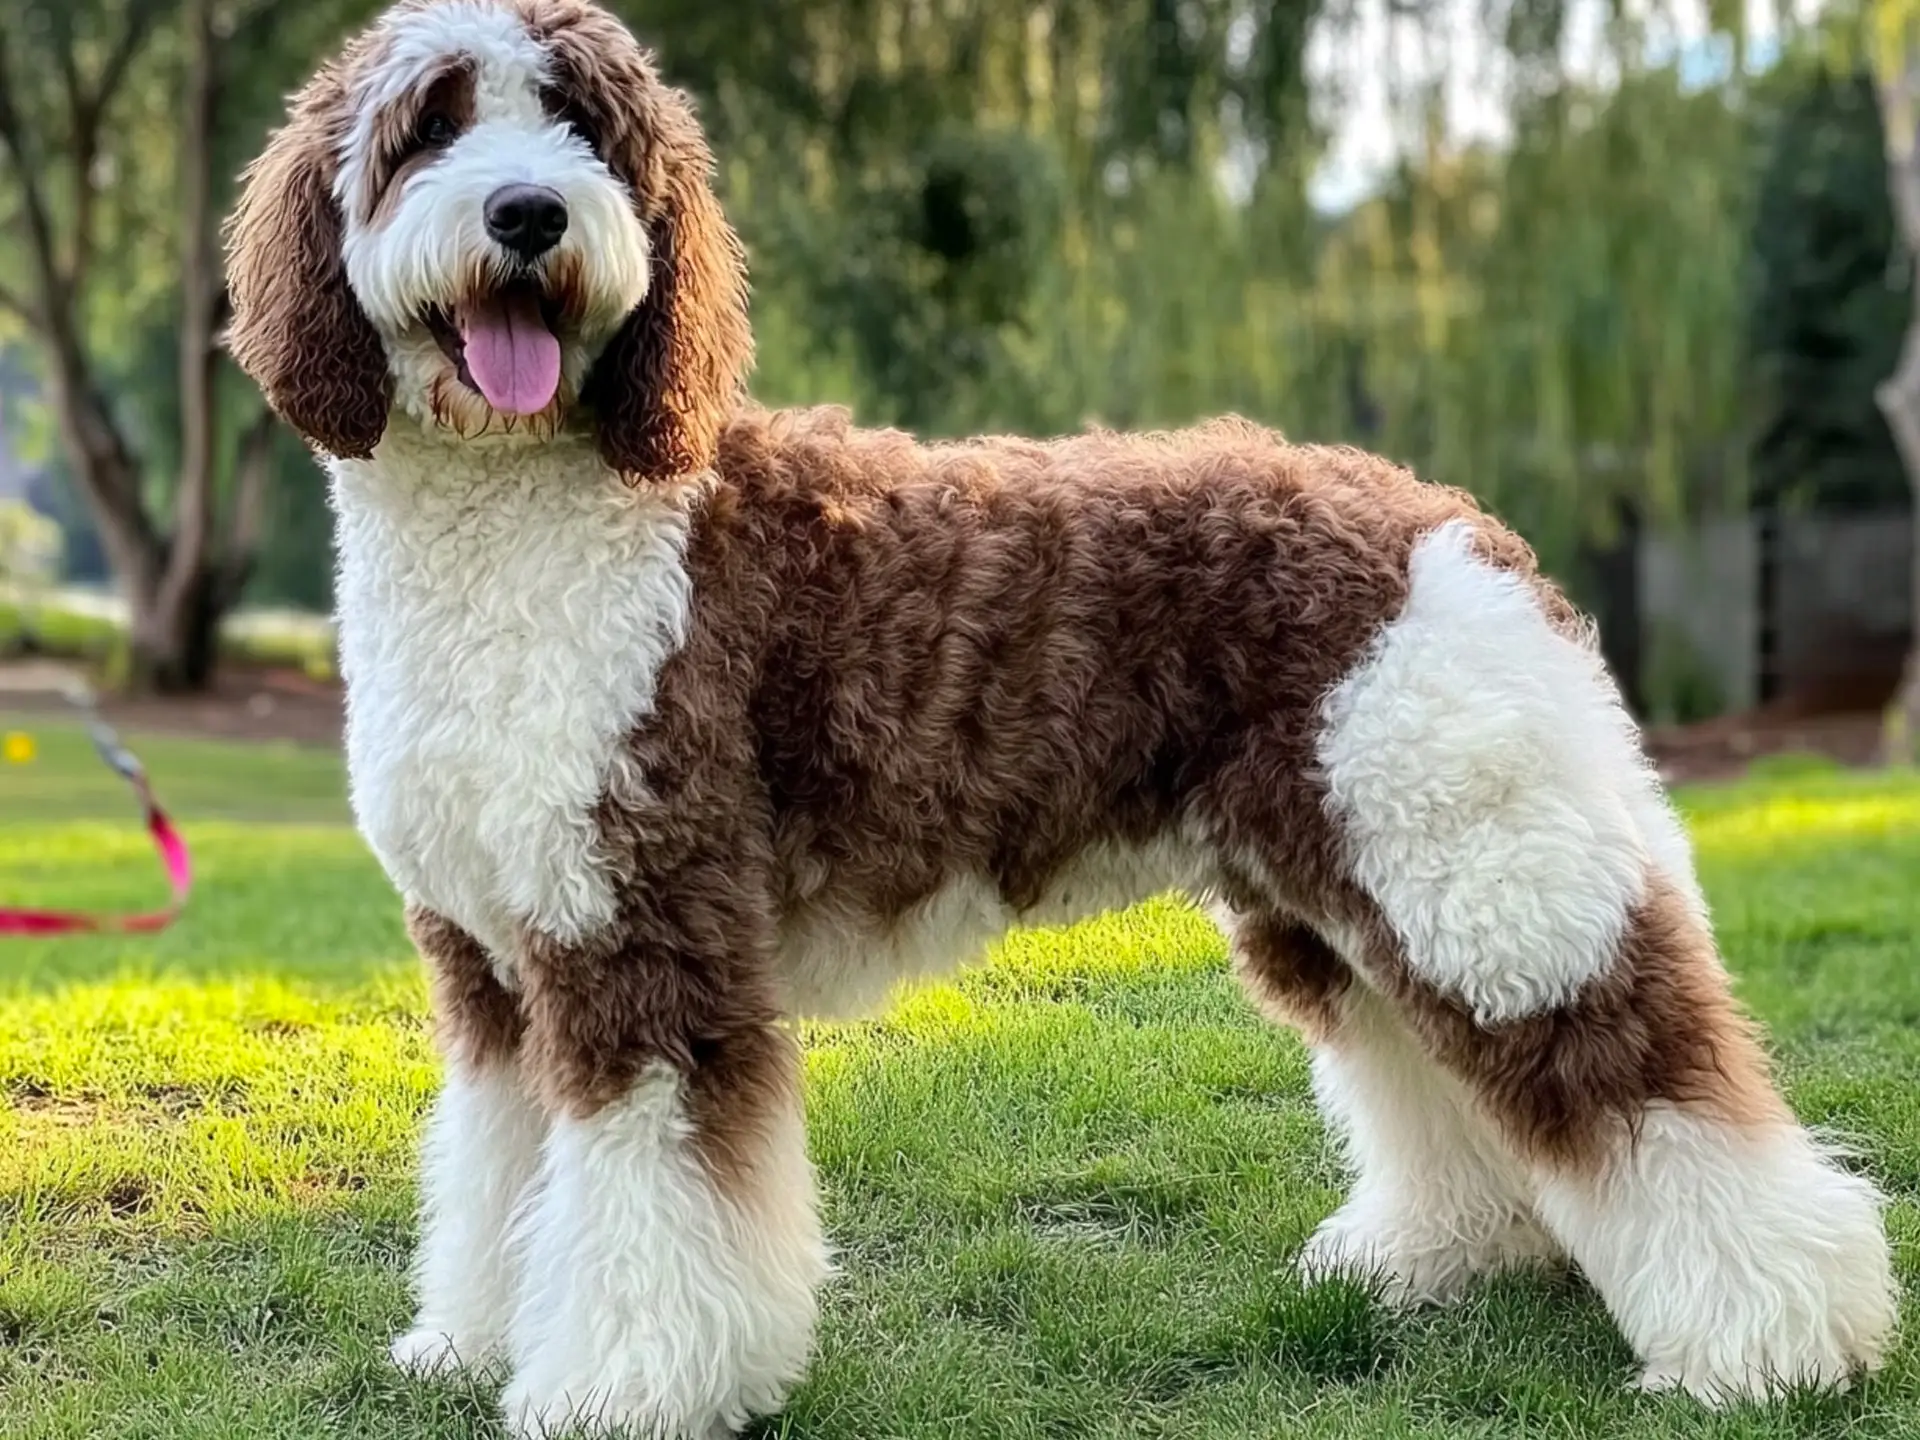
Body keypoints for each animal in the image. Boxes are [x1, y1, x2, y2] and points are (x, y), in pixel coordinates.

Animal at [224, 5, 1889, 1436]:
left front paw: (618, 1393)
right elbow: (499, 1173)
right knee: (1426, 1068)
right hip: (1348, 886)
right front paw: (467, 1344)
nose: (527, 217)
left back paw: (1775, 1344)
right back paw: (1442, 1255)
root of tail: (1448, 518)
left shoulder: (648, 937)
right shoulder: (494, 965)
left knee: (1638, 1083)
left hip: (1486, 885)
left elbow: (649, 1192)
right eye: (433, 125)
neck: (533, 515)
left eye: (582, 125)